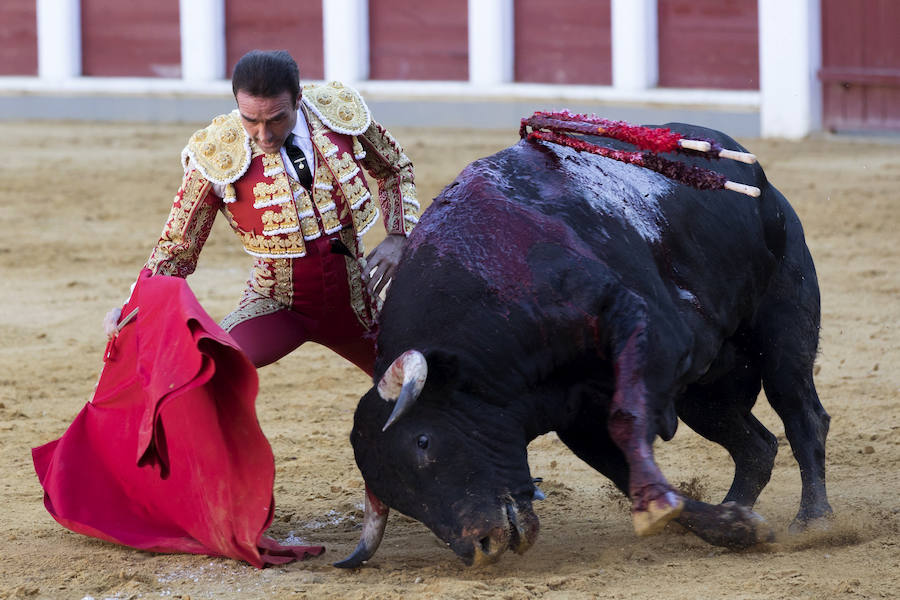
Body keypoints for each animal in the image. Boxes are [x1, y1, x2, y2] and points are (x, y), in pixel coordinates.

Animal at [336, 123, 828, 568]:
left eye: (423, 441)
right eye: (398, 495)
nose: (480, 548)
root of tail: (758, 178)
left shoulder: (641, 324)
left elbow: (627, 421)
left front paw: (663, 507)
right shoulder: (577, 420)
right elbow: (622, 470)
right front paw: (733, 528)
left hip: (784, 330)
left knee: (803, 416)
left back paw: (814, 522)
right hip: (704, 397)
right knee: (756, 446)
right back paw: (738, 508)